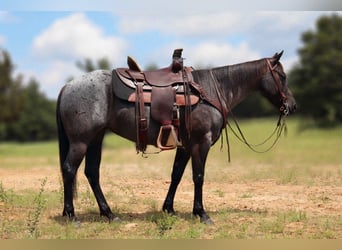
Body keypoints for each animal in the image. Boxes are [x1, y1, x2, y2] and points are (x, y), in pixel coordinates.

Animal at [56, 51, 296, 225]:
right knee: (69, 169)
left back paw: (109, 214)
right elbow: (198, 176)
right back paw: (71, 216)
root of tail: (67, 86)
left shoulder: (186, 146)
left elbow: (176, 175)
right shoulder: (201, 142)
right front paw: (201, 213)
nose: (292, 106)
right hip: (81, 141)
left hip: (95, 139)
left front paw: (168, 209)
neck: (211, 89)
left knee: (92, 173)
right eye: (282, 77)